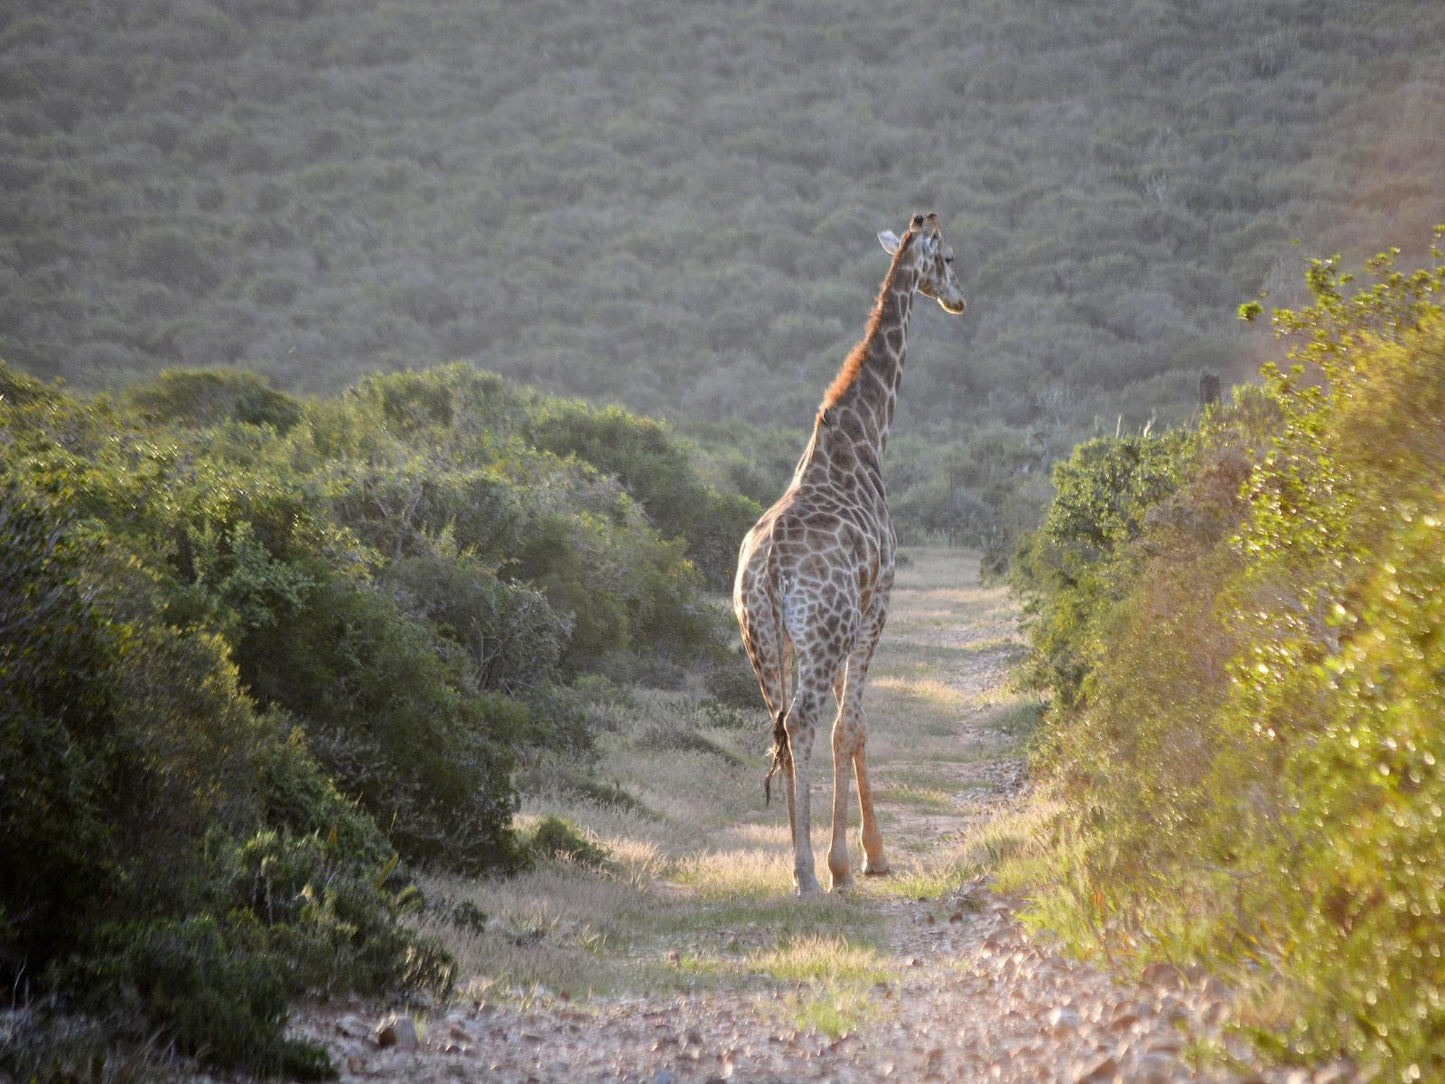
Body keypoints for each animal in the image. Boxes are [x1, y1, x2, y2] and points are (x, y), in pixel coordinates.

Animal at [739, 212, 965, 901]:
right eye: (948, 257)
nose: (959, 300)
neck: (866, 434)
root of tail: (769, 570)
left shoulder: (848, 621)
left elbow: (855, 727)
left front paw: (873, 853)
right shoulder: (877, 602)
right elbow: (852, 725)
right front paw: (853, 860)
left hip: (763, 638)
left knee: (781, 725)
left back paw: (800, 864)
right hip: (820, 631)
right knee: (807, 722)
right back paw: (811, 874)